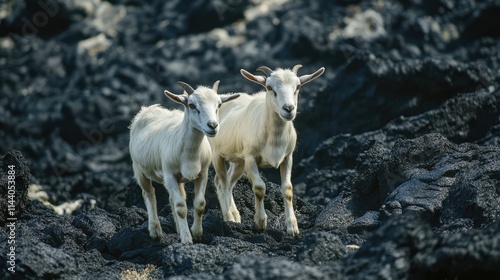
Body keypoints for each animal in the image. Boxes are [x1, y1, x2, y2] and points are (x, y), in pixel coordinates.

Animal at [129, 81, 238, 243]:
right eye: (192, 105)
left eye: (219, 105)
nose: (212, 125)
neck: (190, 153)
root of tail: (148, 109)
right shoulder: (169, 175)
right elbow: (180, 207)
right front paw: (187, 239)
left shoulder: (203, 174)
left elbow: (199, 204)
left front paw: (196, 233)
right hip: (139, 169)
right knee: (149, 194)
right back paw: (155, 230)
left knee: (171, 198)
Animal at [210, 64, 324, 235]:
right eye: (270, 88)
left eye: (298, 87)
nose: (288, 108)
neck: (274, 139)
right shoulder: (251, 158)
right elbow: (259, 188)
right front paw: (260, 223)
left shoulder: (287, 158)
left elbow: (288, 189)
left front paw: (292, 227)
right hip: (218, 154)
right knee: (221, 183)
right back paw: (229, 216)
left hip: (238, 161)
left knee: (228, 182)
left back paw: (235, 216)